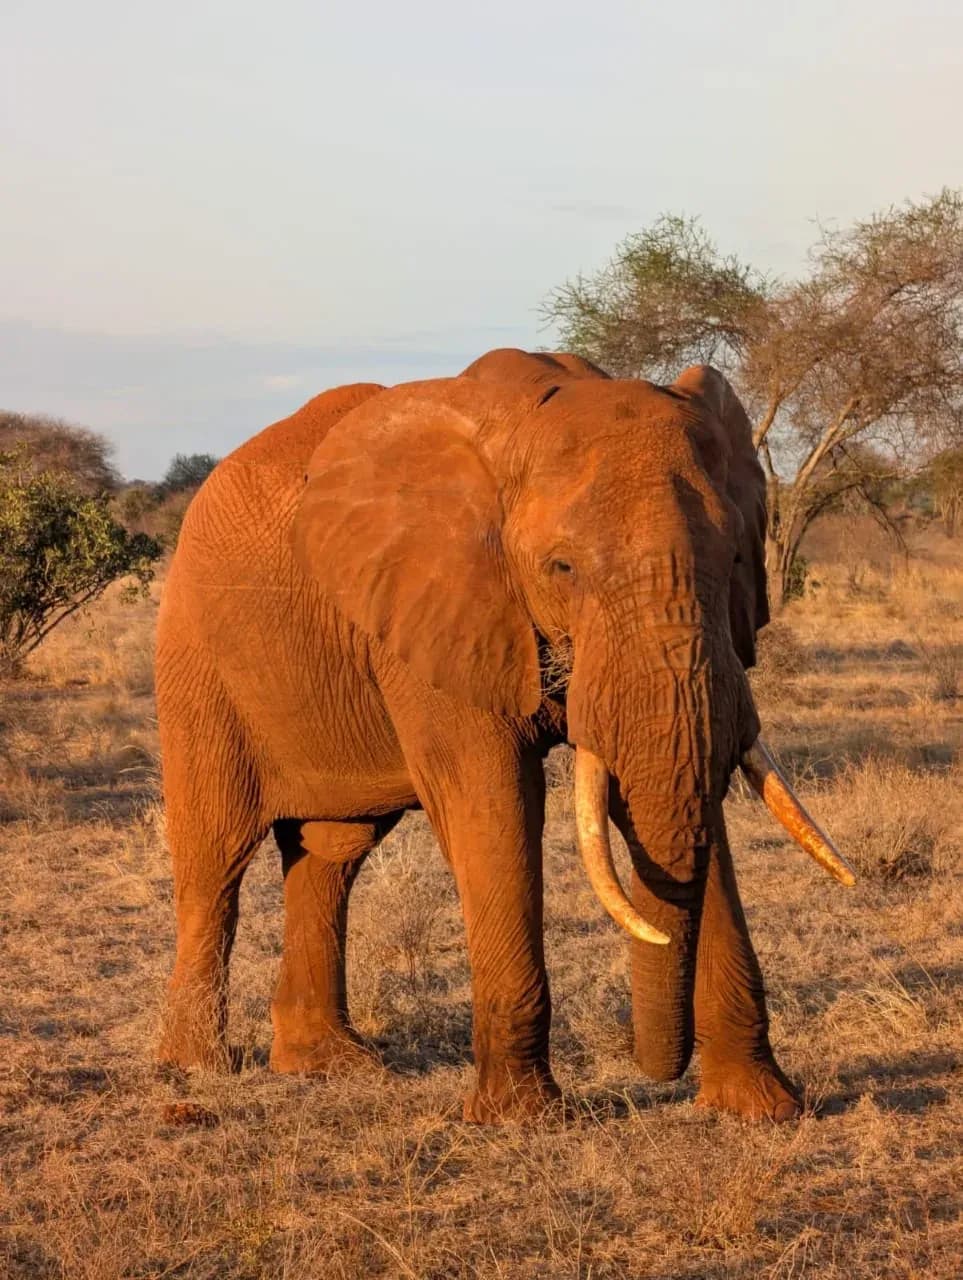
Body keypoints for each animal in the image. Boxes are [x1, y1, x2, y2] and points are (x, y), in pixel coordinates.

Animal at [156, 348, 854, 1124]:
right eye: (563, 567)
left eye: (734, 558)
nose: (656, 1073)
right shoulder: (439, 608)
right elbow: (492, 801)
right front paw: (522, 1117)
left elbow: (667, 800)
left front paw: (763, 1108)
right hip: (196, 659)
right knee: (215, 856)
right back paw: (196, 1068)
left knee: (331, 854)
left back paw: (327, 1065)